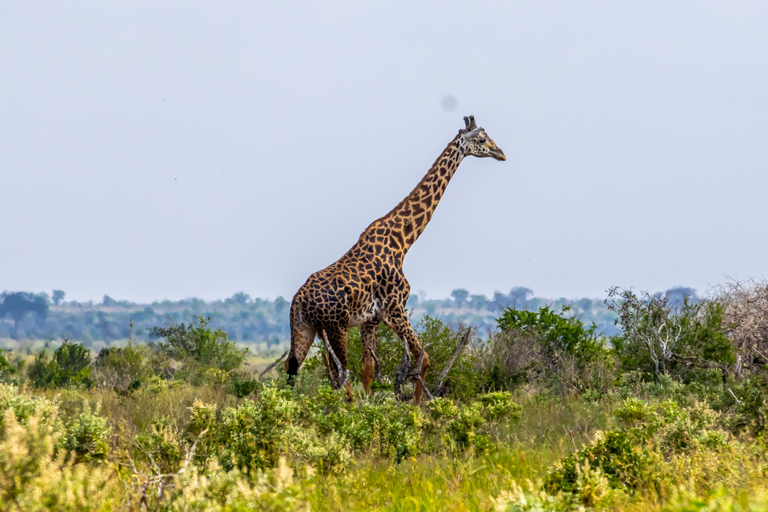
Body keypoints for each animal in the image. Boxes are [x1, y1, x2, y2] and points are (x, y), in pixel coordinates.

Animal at [284, 116, 508, 404]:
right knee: (340, 373)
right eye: (481, 139)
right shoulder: (395, 309)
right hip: (336, 327)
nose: (500, 153)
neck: (403, 242)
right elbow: (423, 358)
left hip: (305, 329)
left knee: (294, 370)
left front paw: (372, 404)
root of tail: (298, 301)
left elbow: (368, 369)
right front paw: (417, 406)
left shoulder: (371, 320)